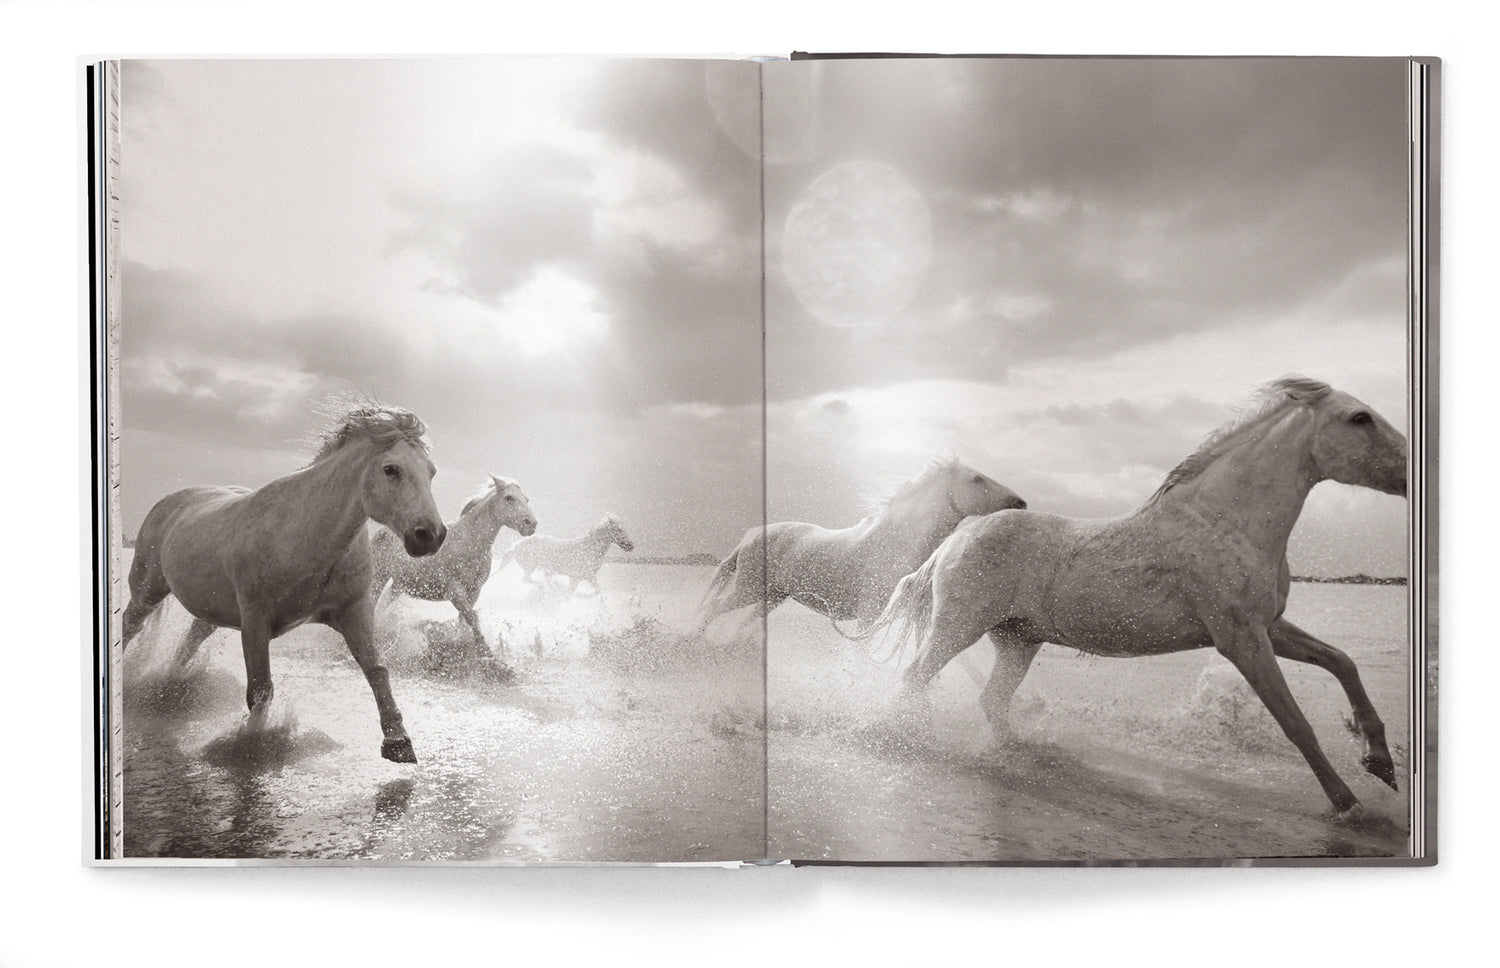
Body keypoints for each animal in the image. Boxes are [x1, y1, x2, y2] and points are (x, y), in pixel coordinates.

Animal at [120, 405, 446, 763]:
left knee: (192, 638)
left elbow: (376, 670)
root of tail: (169, 502)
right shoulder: (255, 622)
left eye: (431, 472)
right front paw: (252, 741)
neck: (306, 537)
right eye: (391, 469)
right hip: (148, 590)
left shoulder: (353, 612)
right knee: (130, 624)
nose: (430, 535)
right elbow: (261, 688)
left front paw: (398, 741)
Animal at [370, 475, 536, 666]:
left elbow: (465, 619)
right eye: (509, 498)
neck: (470, 542)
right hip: (379, 577)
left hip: (399, 585)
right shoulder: (455, 591)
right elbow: (471, 617)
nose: (531, 524)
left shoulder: (474, 591)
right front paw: (485, 652)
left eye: (526, 499)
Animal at [500, 513, 635, 595]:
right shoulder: (576, 578)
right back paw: (544, 587)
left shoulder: (589, 577)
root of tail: (516, 546)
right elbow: (569, 595)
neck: (589, 550)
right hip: (531, 567)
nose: (631, 546)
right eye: (619, 529)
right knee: (526, 579)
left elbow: (597, 591)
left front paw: (580, 595)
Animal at [693, 457, 1026, 634]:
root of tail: (749, 536)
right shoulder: (869, 615)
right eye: (977, 479)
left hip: (773, 596)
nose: (1020, 502)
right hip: (747, 590)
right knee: (713, 608)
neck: (895, 545)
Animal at [856, 378, 1407, 820]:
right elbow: (1297, 724)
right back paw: (895, 739)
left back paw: (1022, 752)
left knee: (991, 700)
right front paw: (1348, 804)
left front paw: (1379, 762)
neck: (1224, 522)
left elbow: (1342, 662)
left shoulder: (1269, 627)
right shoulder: (1241, 640)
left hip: (1017, 640)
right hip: (958, 628)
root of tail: (955, 539)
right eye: (1360, 418)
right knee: (914, 678)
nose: (1411, 471)